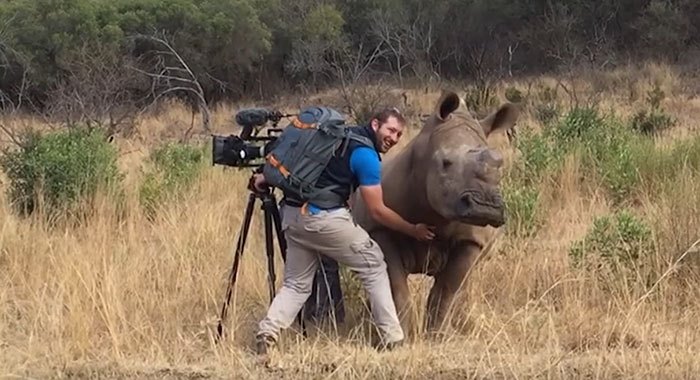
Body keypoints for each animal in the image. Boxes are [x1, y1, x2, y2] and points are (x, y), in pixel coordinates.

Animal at [350, 90, 520, 336]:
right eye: (446, 163)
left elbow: (447, 289)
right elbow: (396, 285)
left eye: (500, 165)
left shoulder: (471, 239)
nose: (485, 207)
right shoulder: (379, 228)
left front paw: (437, 335)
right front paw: (407, 335)